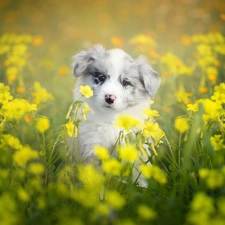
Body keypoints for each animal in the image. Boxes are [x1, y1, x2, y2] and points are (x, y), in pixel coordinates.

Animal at [70, 44, 160, 184]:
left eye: (126, 82)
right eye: (101, 77)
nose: (109, 98)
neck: (111, 118)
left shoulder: (137, 151)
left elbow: (139, 177)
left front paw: (142, 188)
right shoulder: (92, 150)